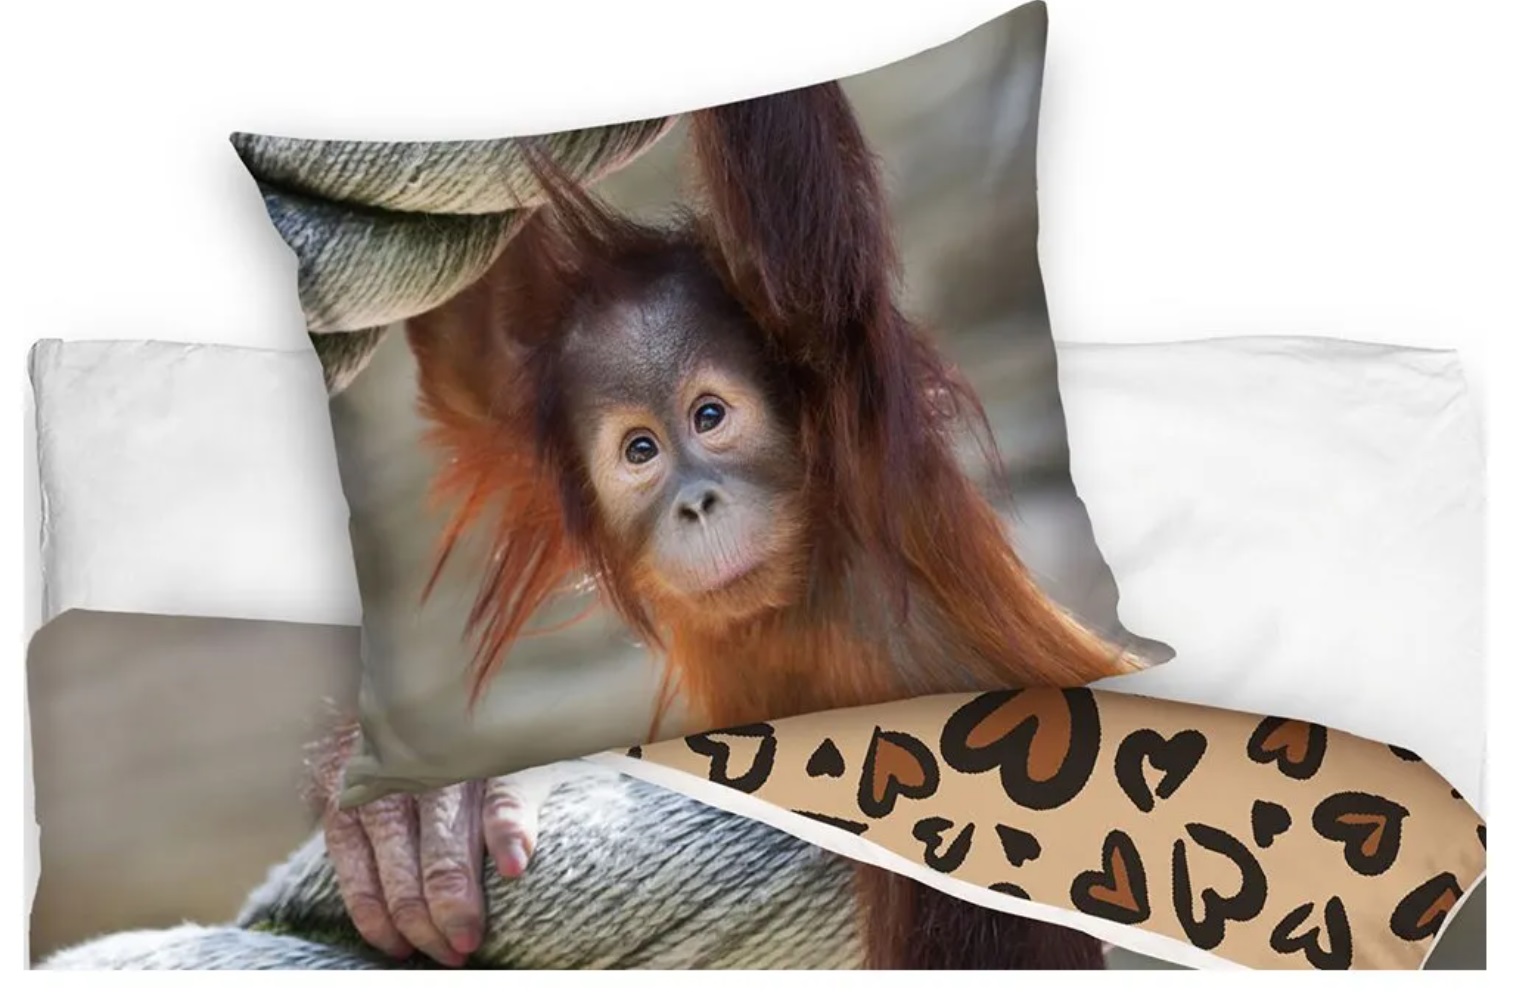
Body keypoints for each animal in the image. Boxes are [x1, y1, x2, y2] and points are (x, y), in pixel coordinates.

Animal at [396, 81, 1142, 970]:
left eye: (709, 416)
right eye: (640, 449)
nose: (696, 501)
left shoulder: (837, 369)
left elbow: (795, 232)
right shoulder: (514, 397)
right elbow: (460, 337)